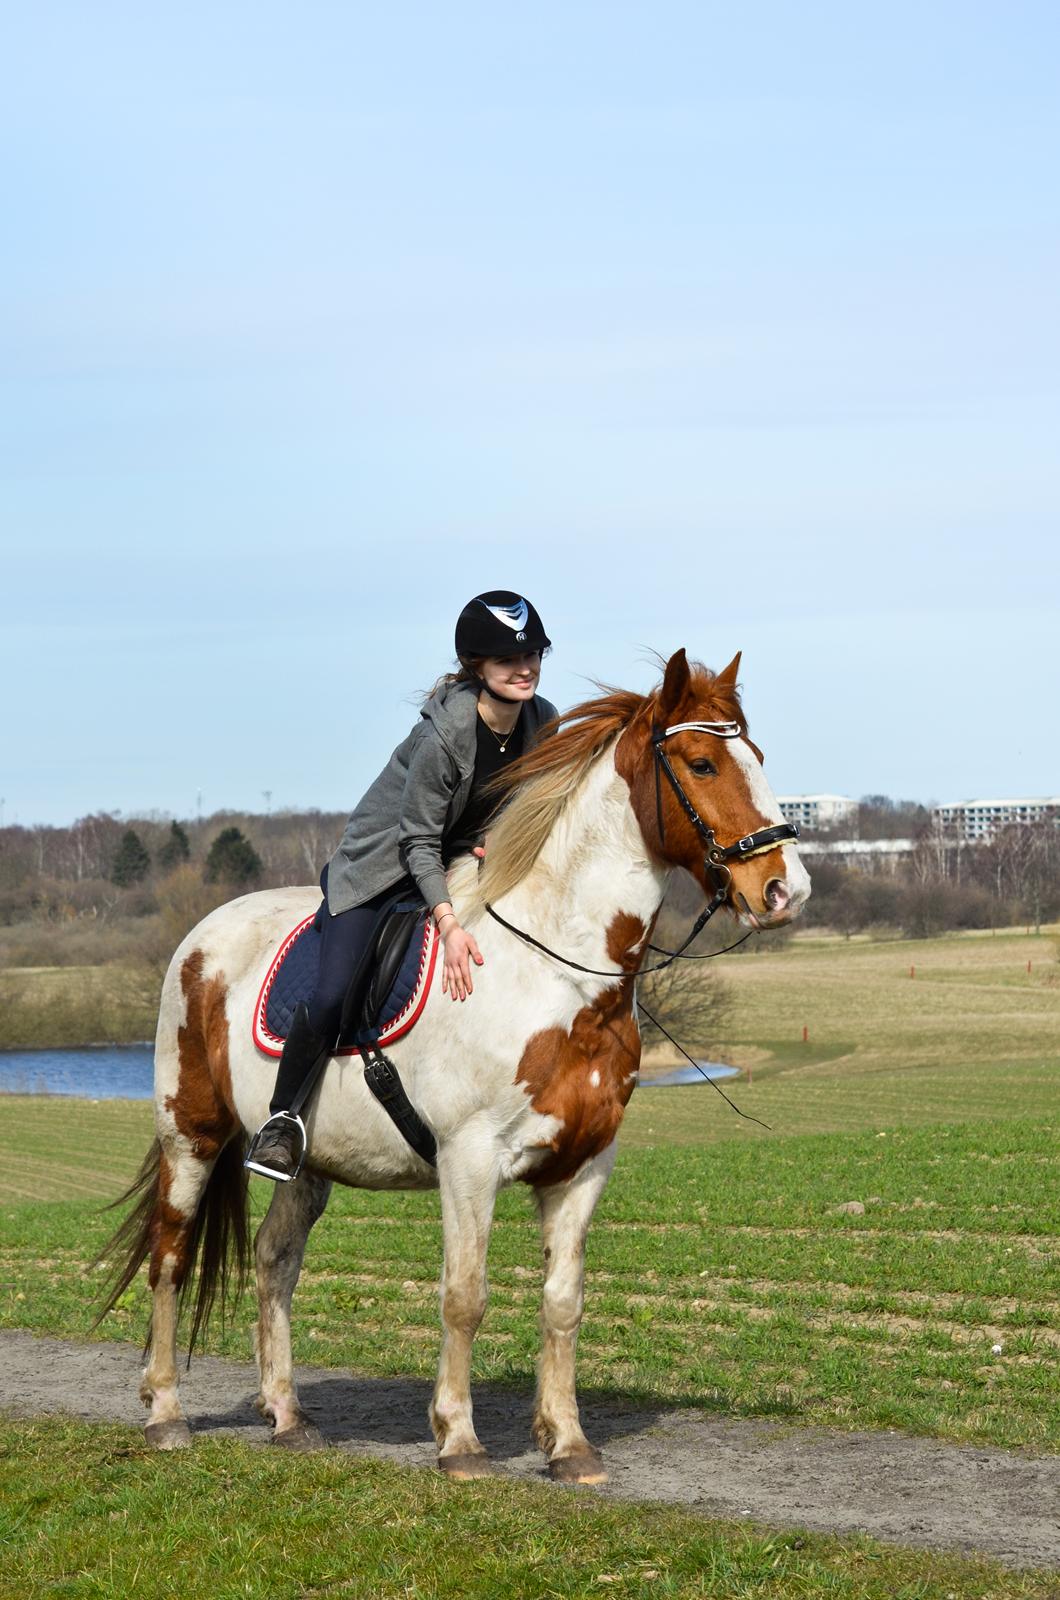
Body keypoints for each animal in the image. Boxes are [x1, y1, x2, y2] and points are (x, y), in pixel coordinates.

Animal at [101, 649, 813, 1484]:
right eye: (702, 763)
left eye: (757, 757)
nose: (785, 889)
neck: (558, 973)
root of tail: (202, 934)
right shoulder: (469, 1161)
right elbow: (464, 1297)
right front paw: (460, 1441)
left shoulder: (582, 1166)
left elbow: (563, 1302)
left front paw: (568, 1445)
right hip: (191, 1135)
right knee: (170, 1257)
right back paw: (166, 1413)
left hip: (309, 1164)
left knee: (276, 1262)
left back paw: (287, 1417)